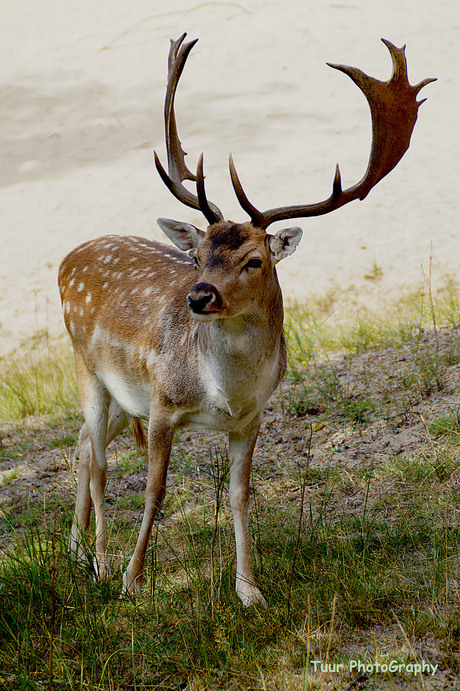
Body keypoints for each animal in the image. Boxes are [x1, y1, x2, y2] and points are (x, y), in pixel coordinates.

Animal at [58, 33, 434, 604]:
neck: (225, 392)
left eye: (254, 260)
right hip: (89, 369)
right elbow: (154, 490)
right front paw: (133, 581)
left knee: (82, 446)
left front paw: (249, 590)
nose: (198, 296)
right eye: (197, 255)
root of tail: (67, 258)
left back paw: (79, 555)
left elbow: (240, 494)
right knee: (99, 462)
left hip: (125, 396)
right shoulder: (164, 403)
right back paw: (101, 563)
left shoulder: (252, 417)